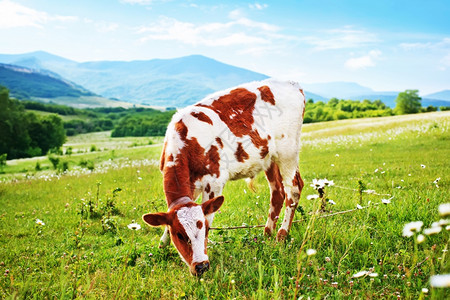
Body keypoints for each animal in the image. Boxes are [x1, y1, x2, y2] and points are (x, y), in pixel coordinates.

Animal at [143, 78, 306, 276]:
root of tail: (292, 83)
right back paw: (267, 234)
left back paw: (281, 236)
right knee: (277, 192)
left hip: (287, 152)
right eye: (179, 235)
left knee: (294, 188)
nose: (201, 266)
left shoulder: (214, 182)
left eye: (205, 230)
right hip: (269, 157)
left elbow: (209, 214)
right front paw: (161, 247)